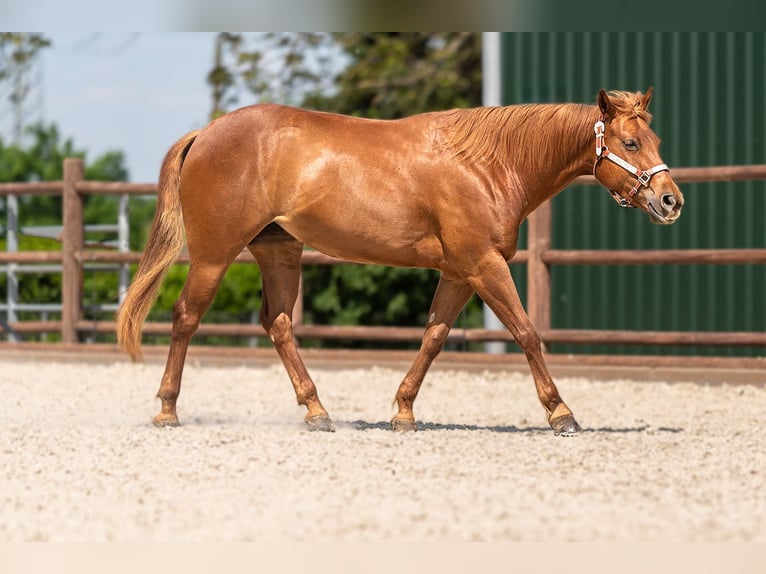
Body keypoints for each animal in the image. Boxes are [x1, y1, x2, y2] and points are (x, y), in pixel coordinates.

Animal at [118, 88, 684, 434]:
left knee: (277, 323)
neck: (487, 165)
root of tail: (206, 133)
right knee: (185, 318)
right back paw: (167, 410)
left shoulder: (459, 273)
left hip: (279, 251)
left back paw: (317, 411)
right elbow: (526, 333)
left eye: (654, 139)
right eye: (629, 141)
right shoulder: (484, 266)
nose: (671, 201)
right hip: (213, 257)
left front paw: (404, 412)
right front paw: (561, 413)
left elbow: (433, 338)